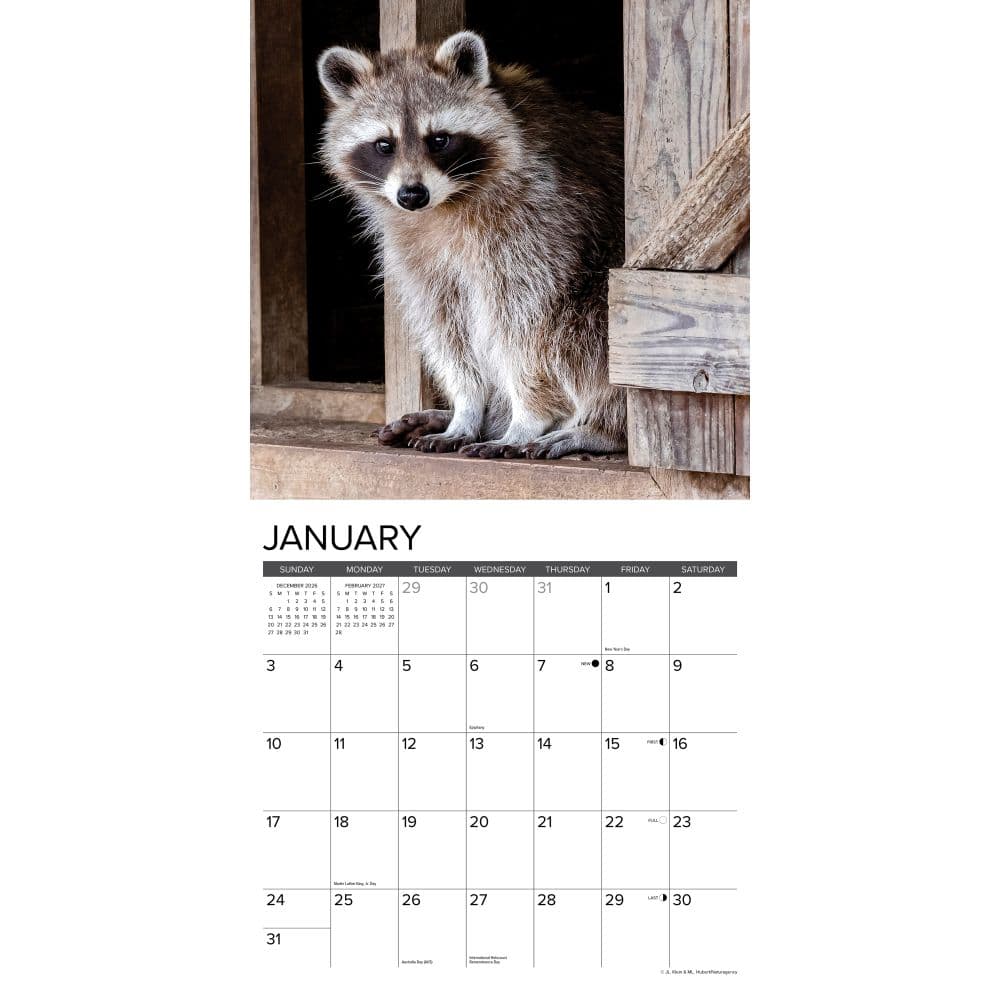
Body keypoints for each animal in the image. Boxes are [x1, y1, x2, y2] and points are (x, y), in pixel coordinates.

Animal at [317, 31, 626, 459]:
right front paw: (467, 408)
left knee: (585, 335)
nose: (412, 194)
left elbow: (528, 329)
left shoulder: (540, 224)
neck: (444, 205)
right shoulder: (411, 247)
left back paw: (601, 427)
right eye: (384, 145)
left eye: (439, 140)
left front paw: (526, 418)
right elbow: (448, 326)